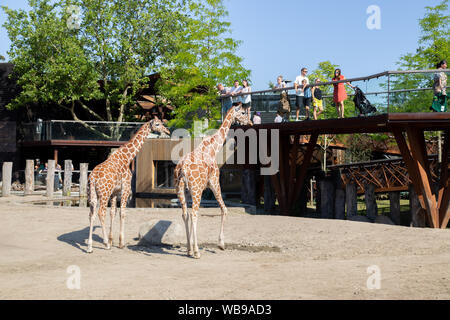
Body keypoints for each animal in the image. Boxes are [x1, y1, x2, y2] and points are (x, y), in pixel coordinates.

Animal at [85, 116, 169, 254]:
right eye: (157, 124)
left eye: (162, 123)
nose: (167, 131)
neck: (127, 157)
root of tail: (93, 178)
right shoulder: (125, 188)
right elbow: (122, 213)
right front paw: (120, 243)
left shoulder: (115, 192)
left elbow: (113, 212)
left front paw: (112, 240)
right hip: (104, 194)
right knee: (100, 213)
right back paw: (105, 244)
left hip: (92, 194)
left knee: (91, 214)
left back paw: (90, 247)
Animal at [175, 106, 253, 258]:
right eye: (243, 112)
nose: (251, 122)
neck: (213, 148)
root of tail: (182, 169)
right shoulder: (214, 183)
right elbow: (224, 209)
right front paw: (221, 244)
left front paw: (190, 247)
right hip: (197, 191)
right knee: (194, 214)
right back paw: (197, 252)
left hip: (181, 190)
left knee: (185, 214)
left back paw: (189, 249)